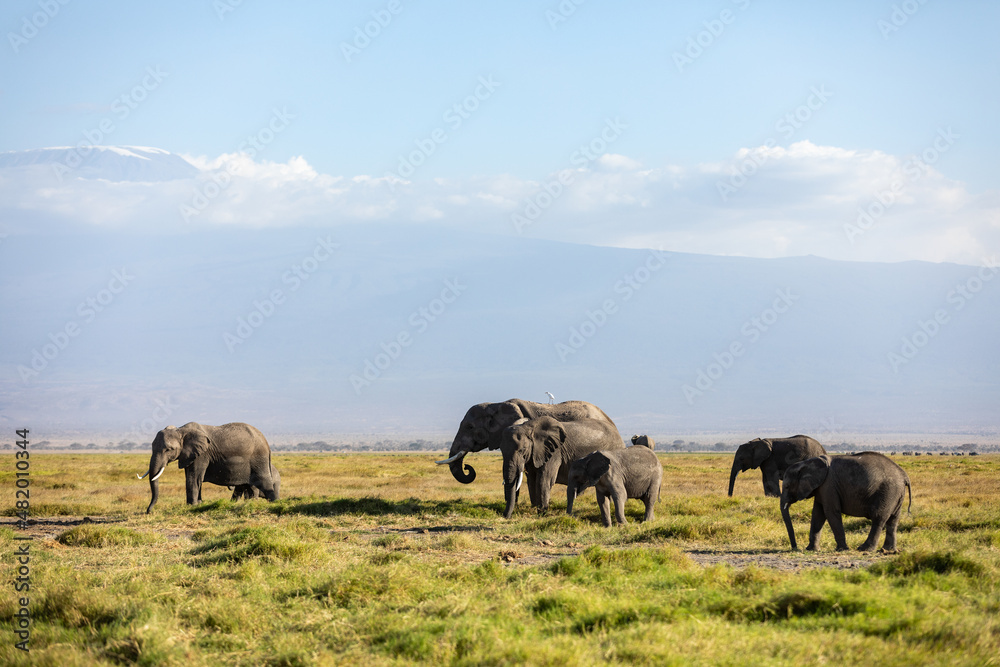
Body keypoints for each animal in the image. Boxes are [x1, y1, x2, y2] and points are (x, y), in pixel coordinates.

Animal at [137, 422, 278, 516]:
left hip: (258, 458)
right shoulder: (190, 455)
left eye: (168, 449)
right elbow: (193, 478)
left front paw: (192, 506)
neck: (181, 430)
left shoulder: (202, 455)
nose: (148, 511)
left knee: (265, 482)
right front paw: (199, 504)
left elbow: (193, 478)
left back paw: (276, 503)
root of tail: (266, 442)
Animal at [780, 454, 916, 552]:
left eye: (786, 486)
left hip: (888, 492)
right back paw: (888, 550)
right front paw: (811, 550)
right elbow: (818, 514)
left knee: (879, 518)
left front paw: (842, 550)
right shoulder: (821, 488)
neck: (806, 463)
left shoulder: (828, 485)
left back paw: (865, 549)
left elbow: (830, 512)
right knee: (893, 520)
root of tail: (904, 475)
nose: (795, 548)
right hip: (896, 494)